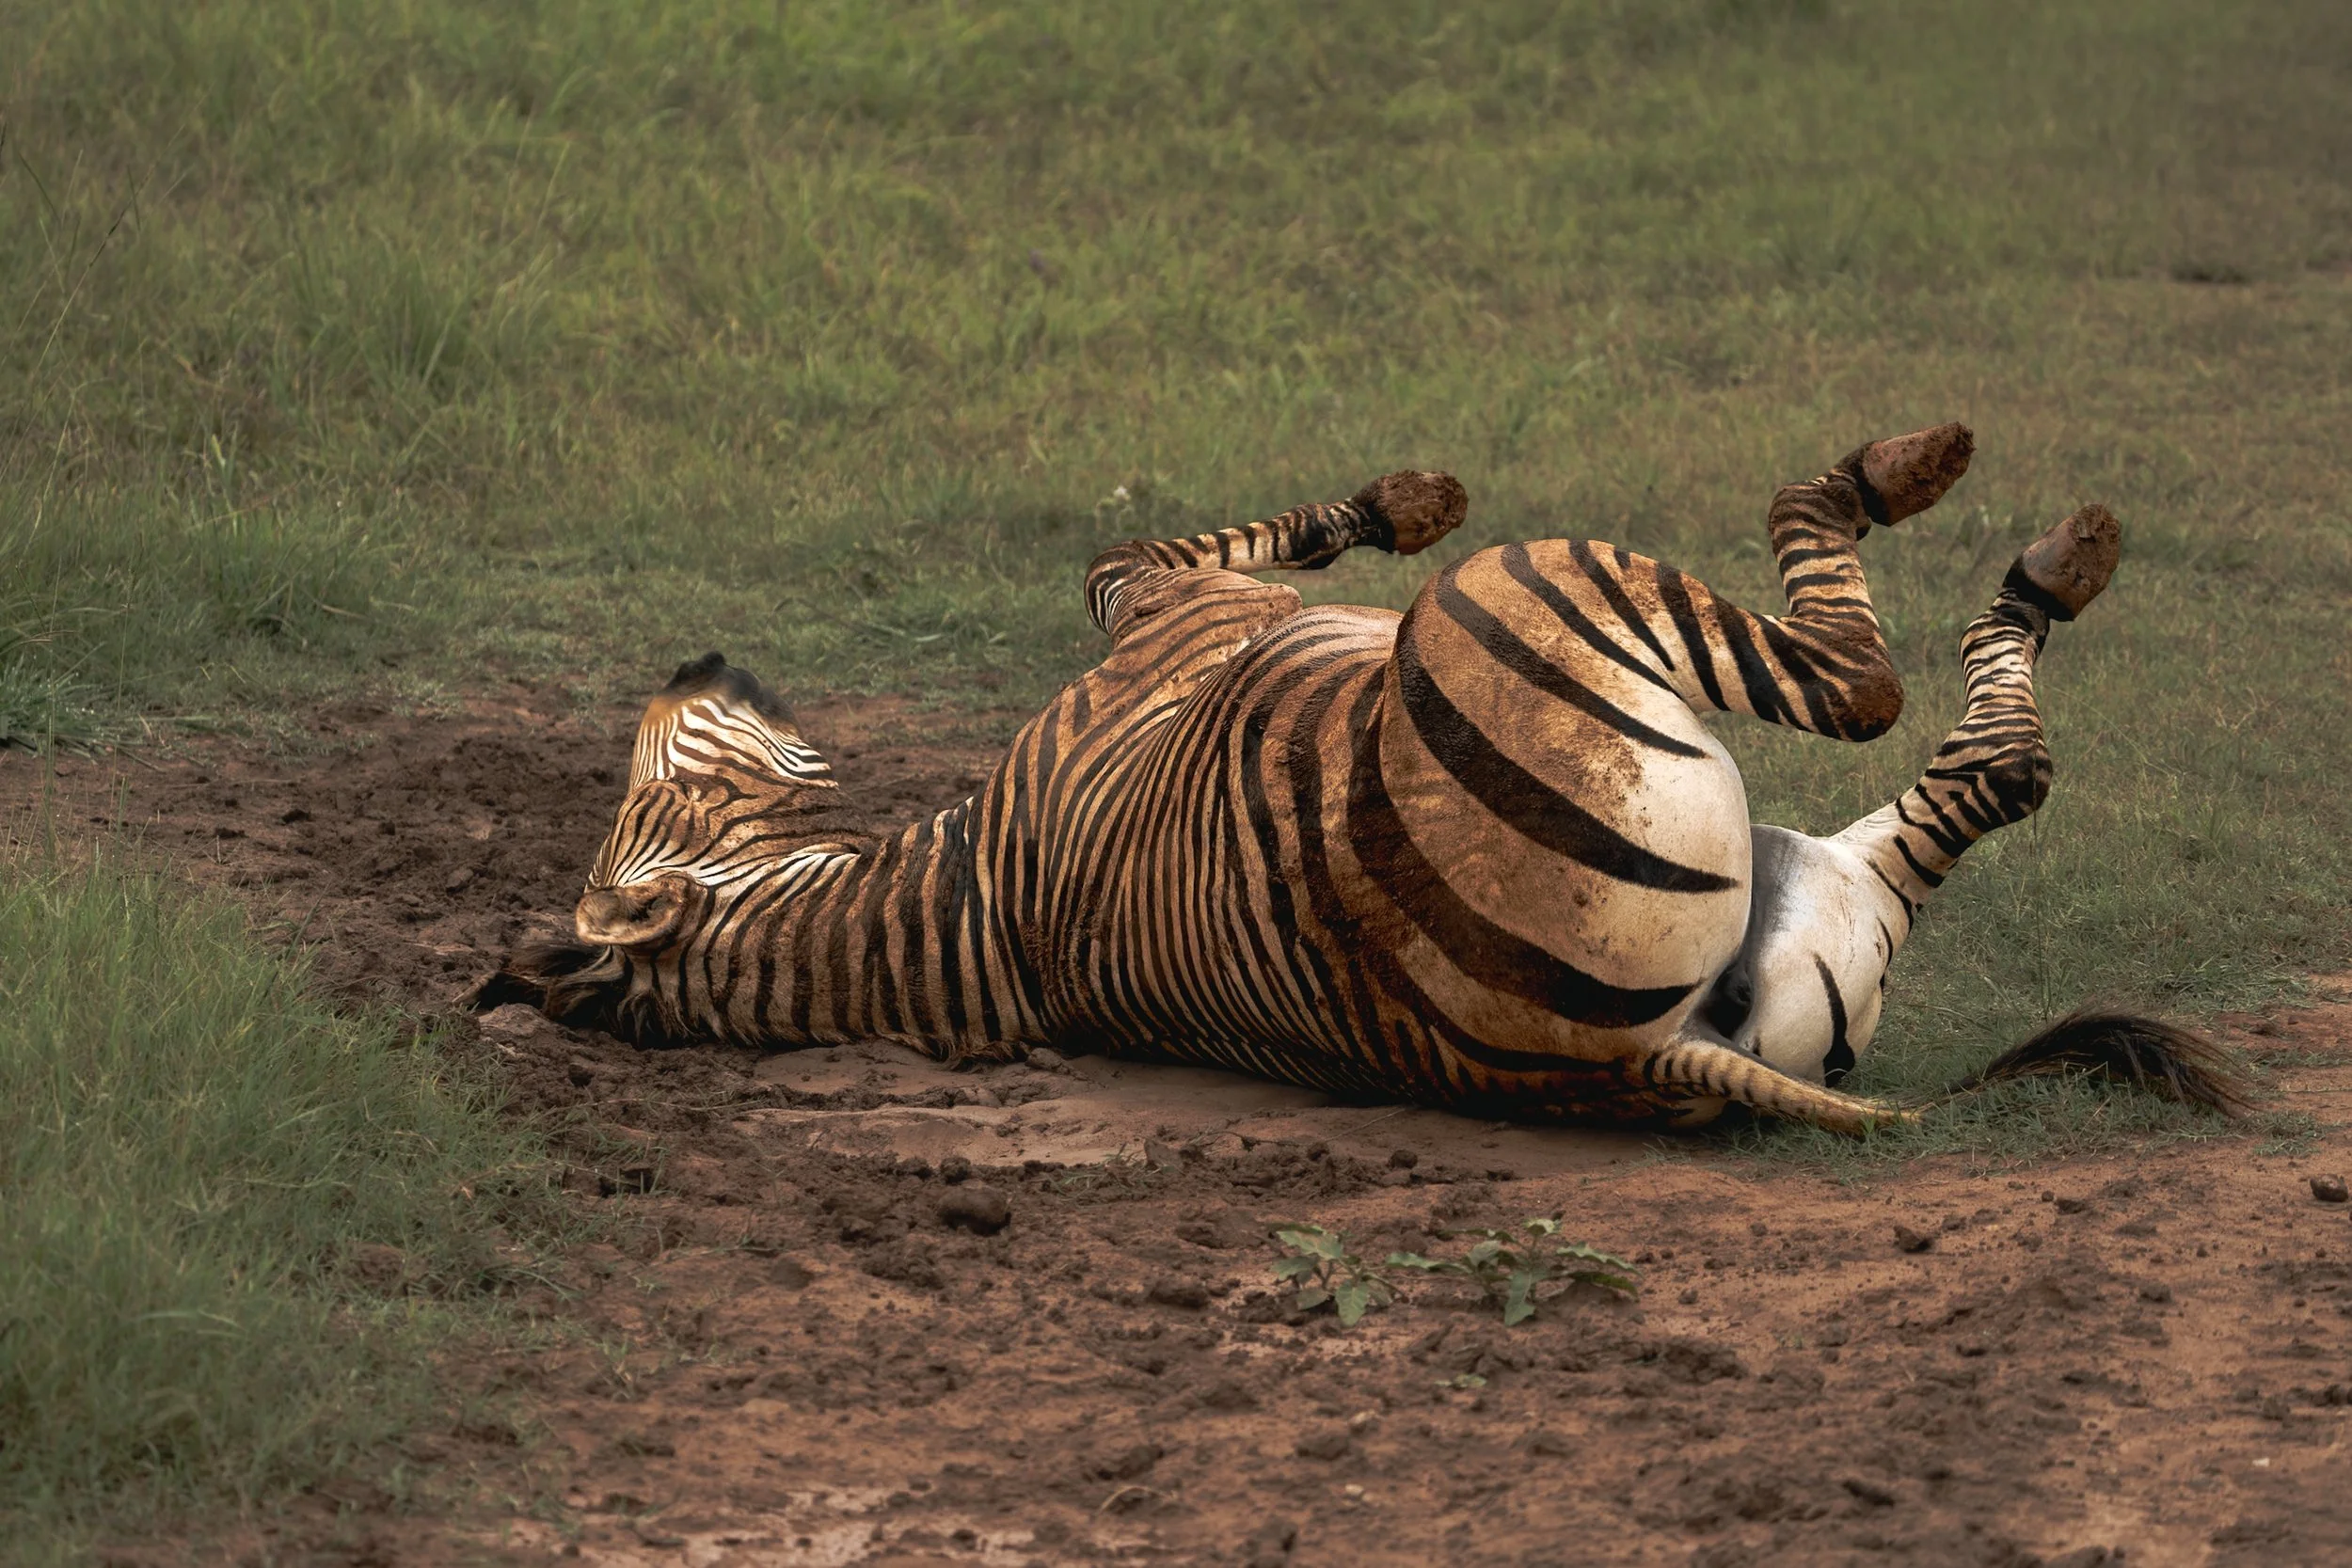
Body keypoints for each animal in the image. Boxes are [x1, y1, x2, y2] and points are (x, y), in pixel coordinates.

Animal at [494, 425, 2242, 1133]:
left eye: (643, 788)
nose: (695, 660)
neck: (984, 917)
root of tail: (1637, 1060)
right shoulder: (1169, 606)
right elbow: (1141, 545)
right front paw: (1407, 497)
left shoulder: (1170, 616)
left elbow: (1162, 538)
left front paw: (1389, 496)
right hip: (1529, 593)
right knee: (1911, 710)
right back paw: (2000, 521)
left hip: (1822, 892)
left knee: (1980, 777)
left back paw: (2032, 566)